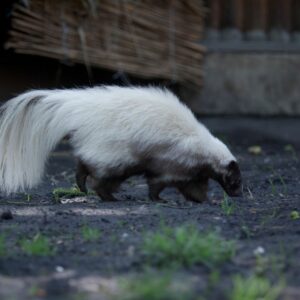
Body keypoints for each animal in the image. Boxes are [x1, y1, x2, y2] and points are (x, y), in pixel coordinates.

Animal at [0, 85, 241, 200]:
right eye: (235, 180)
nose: (237, 193)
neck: (204, 146)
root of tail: (81, 111)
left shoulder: (192, 168)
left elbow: (193, 186)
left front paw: (203, 200)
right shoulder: (174, 159)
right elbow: (159, 181)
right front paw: (159, 199)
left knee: (83, 164)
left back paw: (82, 186)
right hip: (116, 153)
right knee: (101, 177)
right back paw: (108, 197)